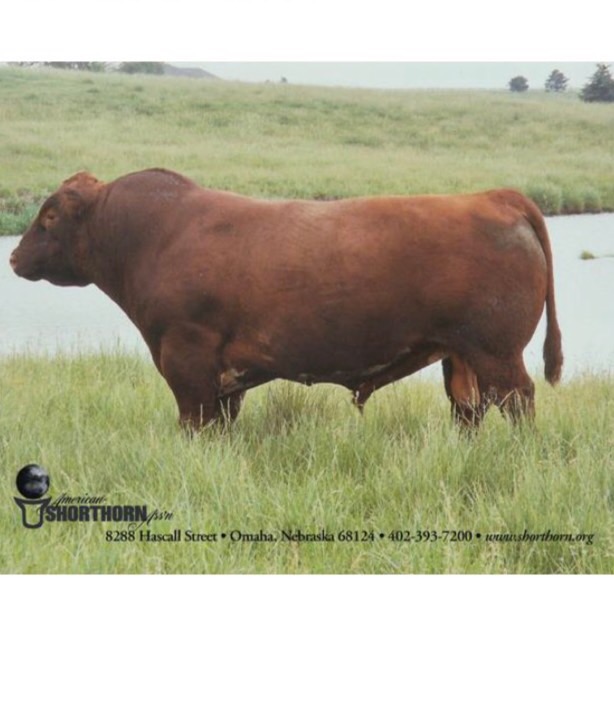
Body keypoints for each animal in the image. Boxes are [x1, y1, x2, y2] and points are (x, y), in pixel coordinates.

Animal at [10, 168, 563, 431]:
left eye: (51, 216)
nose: (13, 256)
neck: (155, 235)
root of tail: (493, 196)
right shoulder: (223, 377)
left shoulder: (186, 357)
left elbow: (194, 422)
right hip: (461, 355)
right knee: (470, 409)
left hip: (497, 351)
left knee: (518, 401)